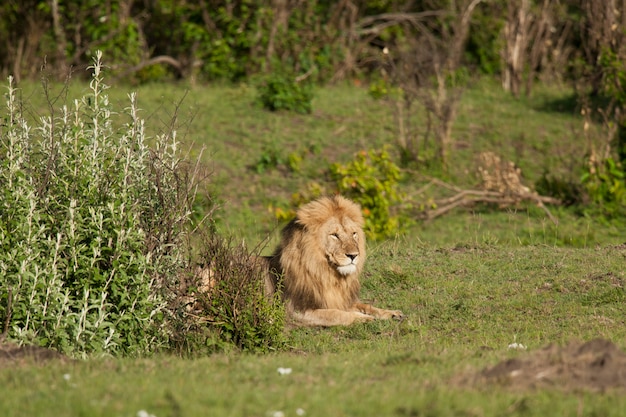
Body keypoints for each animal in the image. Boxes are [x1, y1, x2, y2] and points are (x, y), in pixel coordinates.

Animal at [264, 193, 402, 326]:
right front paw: (364, 318)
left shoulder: (342, 301)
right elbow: (336, 314)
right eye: (334, 235)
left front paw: (391, 313)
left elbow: (365, 306)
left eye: (354, 234)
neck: (329, 276)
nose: (354, 255)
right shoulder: (294, 311)